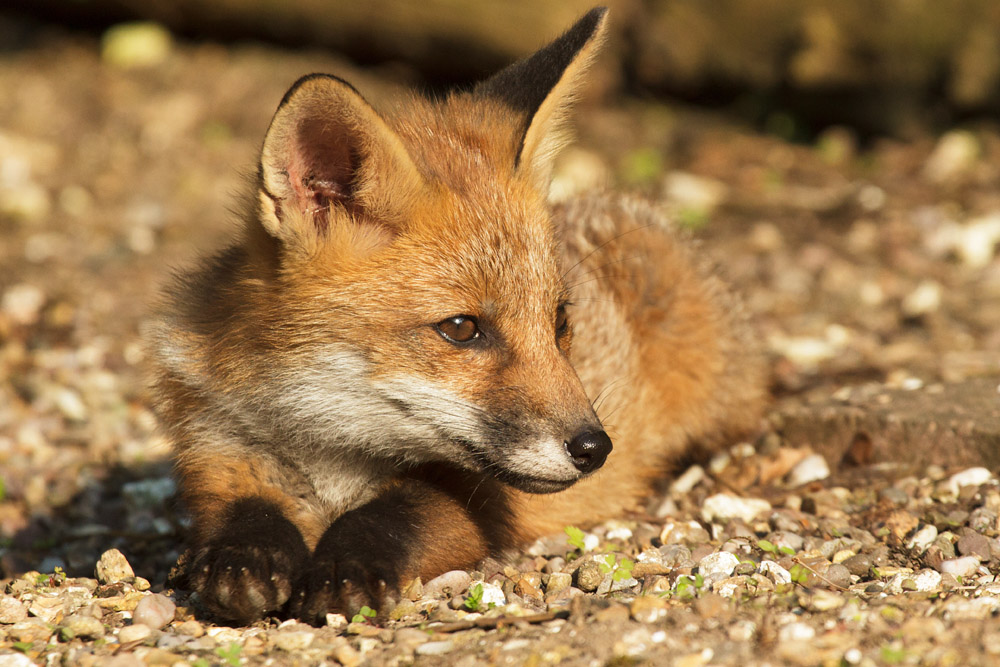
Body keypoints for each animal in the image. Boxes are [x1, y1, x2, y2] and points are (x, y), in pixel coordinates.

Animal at [148, 6, 766, 625]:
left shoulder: (478, 498)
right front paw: (239, 558)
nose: (596, 449)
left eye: (559, 322)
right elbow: (243, 513)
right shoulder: (217, 450)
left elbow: (395, 516)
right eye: (462, 329)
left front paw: (345, 569)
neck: (330, 450)